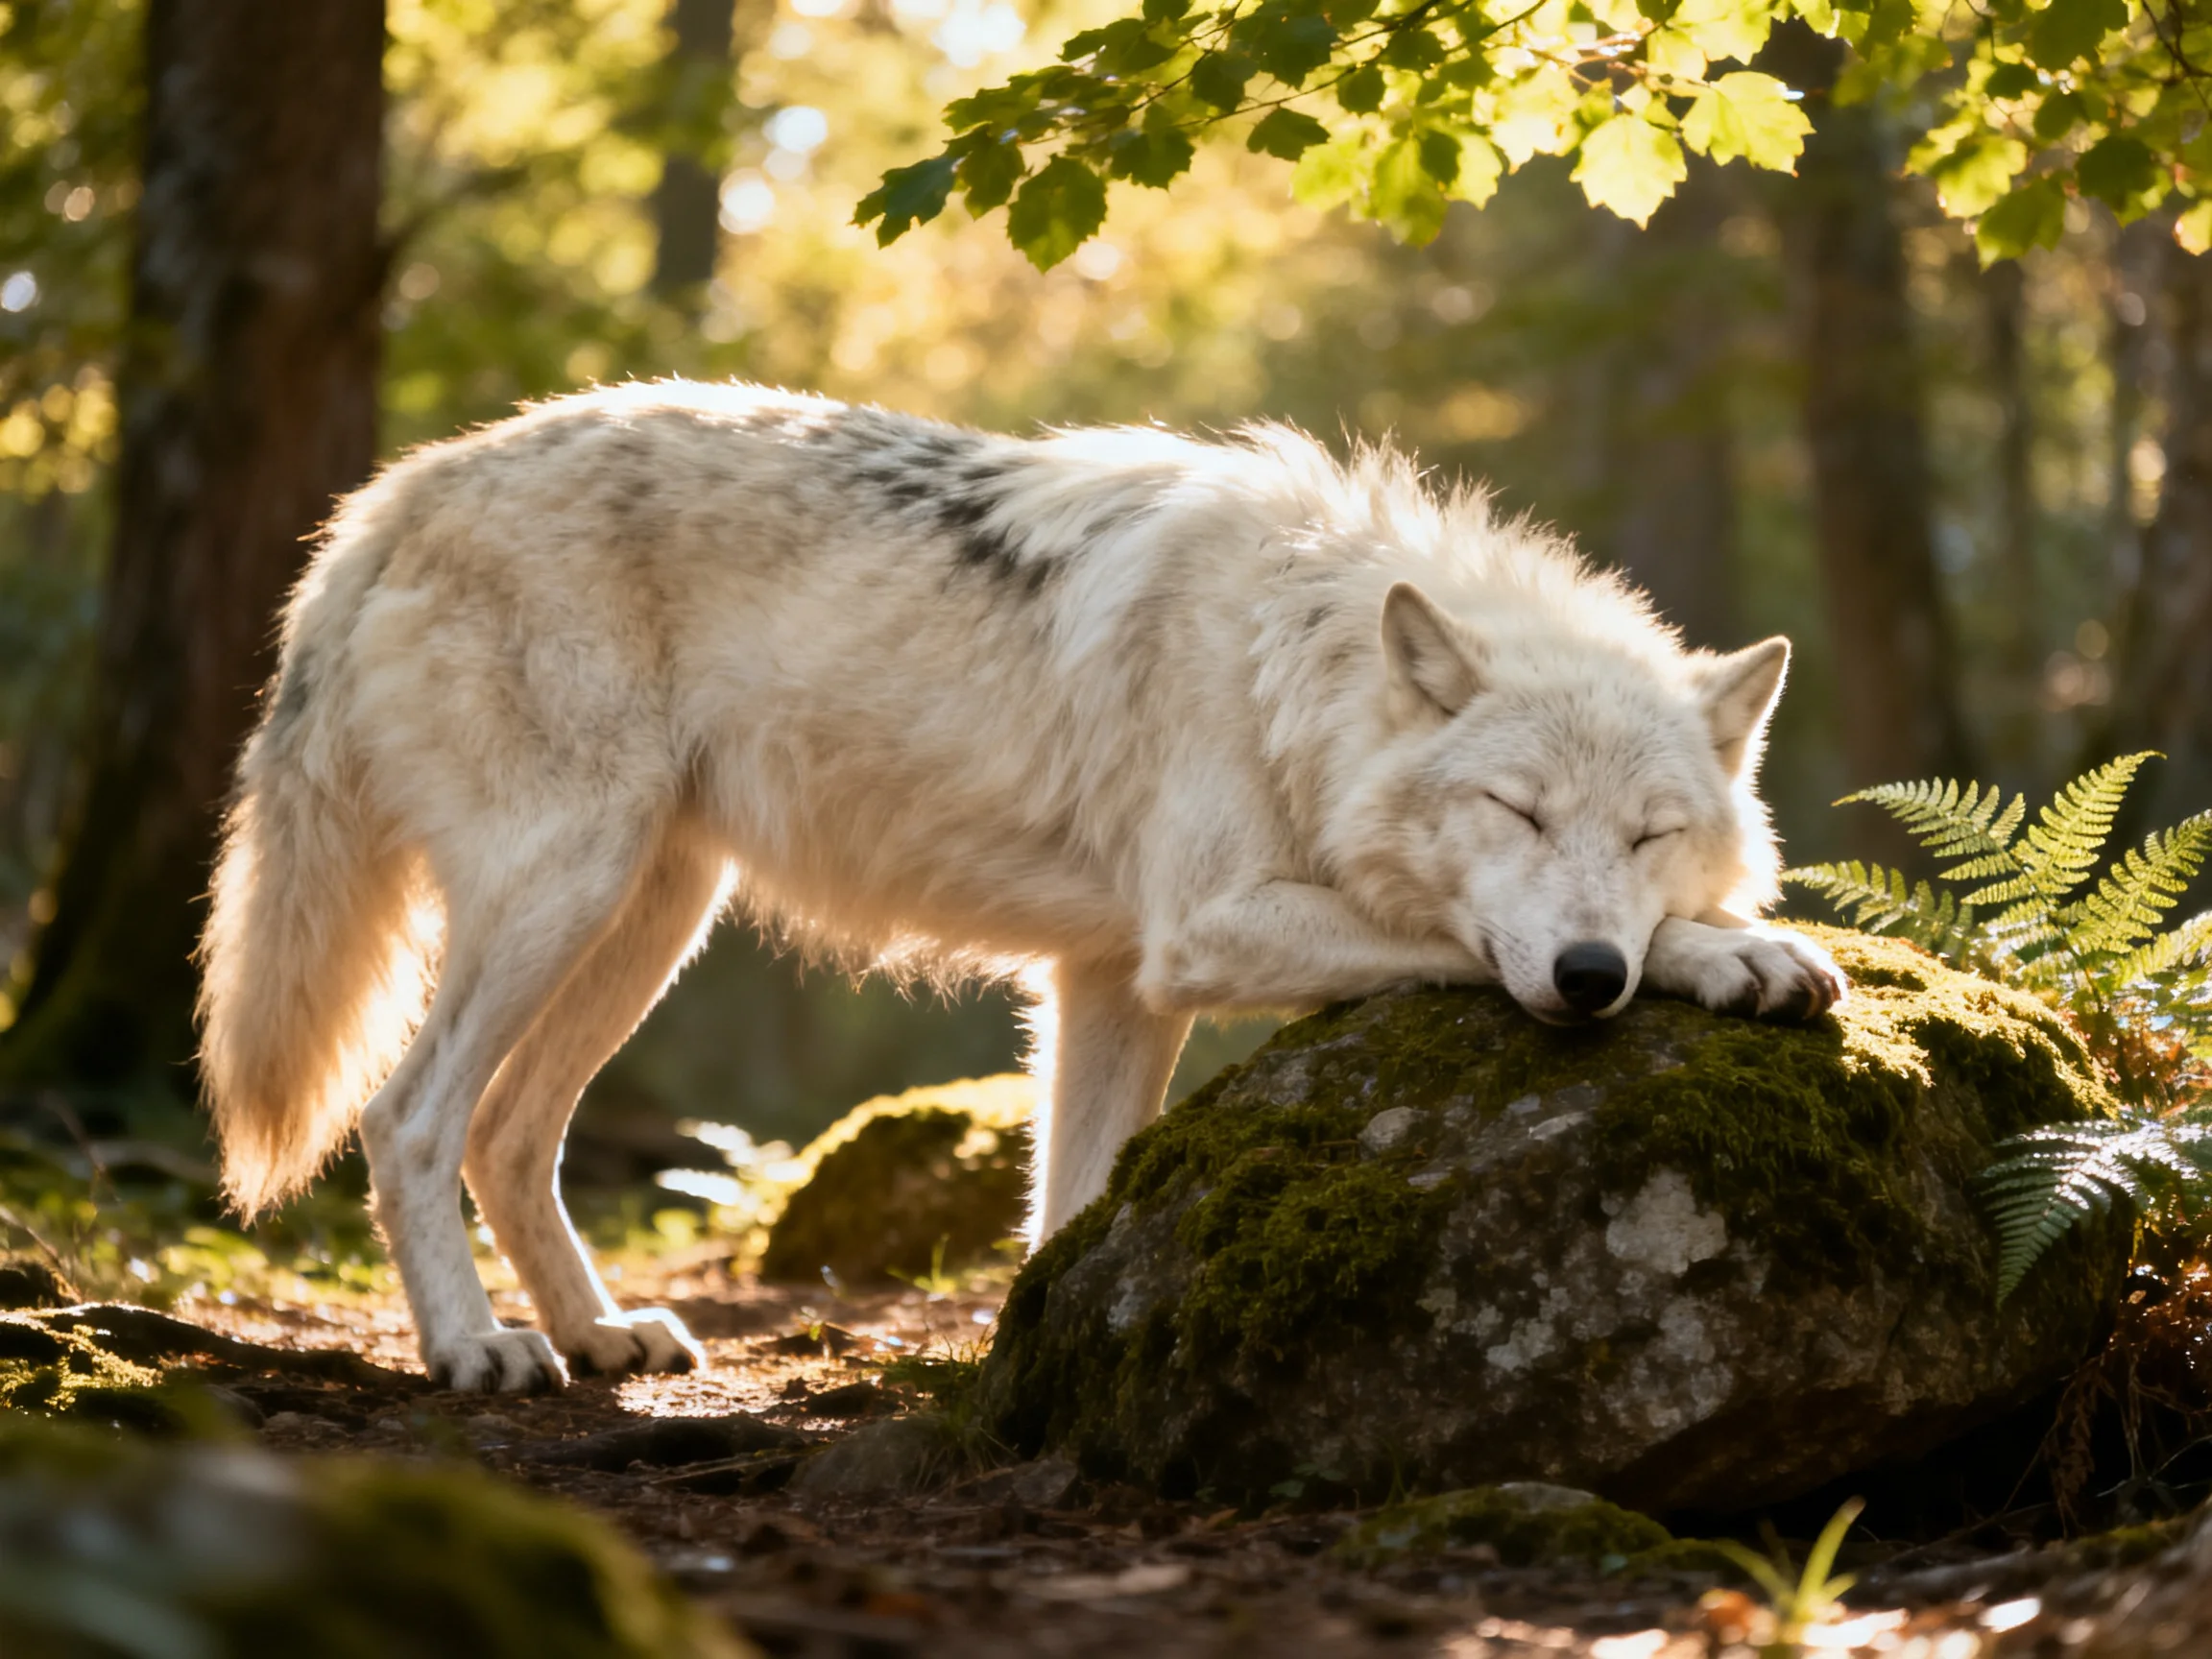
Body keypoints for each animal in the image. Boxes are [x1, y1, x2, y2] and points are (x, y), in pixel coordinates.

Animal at [197, 380, 1843, 1393]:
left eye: (1645, 835)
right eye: (1518, 809)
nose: (1589, 979)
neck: (1293, 663)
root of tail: (397, 492)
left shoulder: (1110, 979)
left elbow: (1072, 1201)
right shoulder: (1200, 934)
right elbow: (1454, 933)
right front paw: (1733, 954)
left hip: (649, 920)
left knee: (511, 1136)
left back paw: (600, 1335)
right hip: (570, 892)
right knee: (410, 1120)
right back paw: (479, 1353)